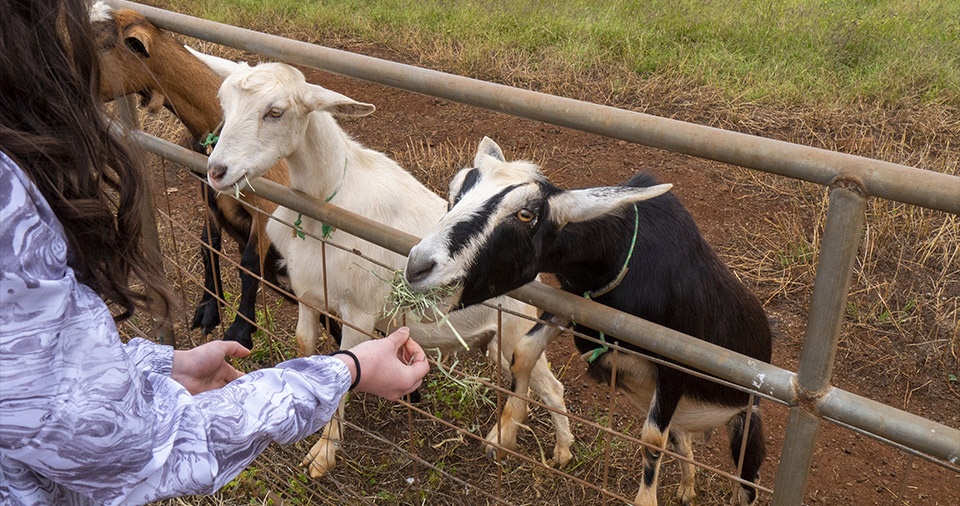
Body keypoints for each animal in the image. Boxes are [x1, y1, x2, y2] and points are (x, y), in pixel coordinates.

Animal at [95, 6, 294, 348]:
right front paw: (208, 309)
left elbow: (249, 264)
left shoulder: (267, 210)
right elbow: (207, 245)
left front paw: (240, 331)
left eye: (103, 43)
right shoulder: (209, 196)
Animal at [196, 56, 568, 478]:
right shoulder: (309, 291)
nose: (216, 171)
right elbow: (307, 345)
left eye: (276, 112)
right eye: (224, 104)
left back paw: (559, 453)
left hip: (516, 333)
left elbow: (345, 365)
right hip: (493, 342)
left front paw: (324, 454)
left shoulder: (359, 311)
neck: (328, 199)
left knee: (551, 388)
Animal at [404, 136, 772, 504]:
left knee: (747, 480)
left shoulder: (678, 359)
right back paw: (686, 487)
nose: (418, 267)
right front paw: (505, 433)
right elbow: (523, 352)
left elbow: (652, 440)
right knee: (682, 440)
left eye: (525, 214)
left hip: (745, 423)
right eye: (455, 192)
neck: (620, 256)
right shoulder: (573, 303)